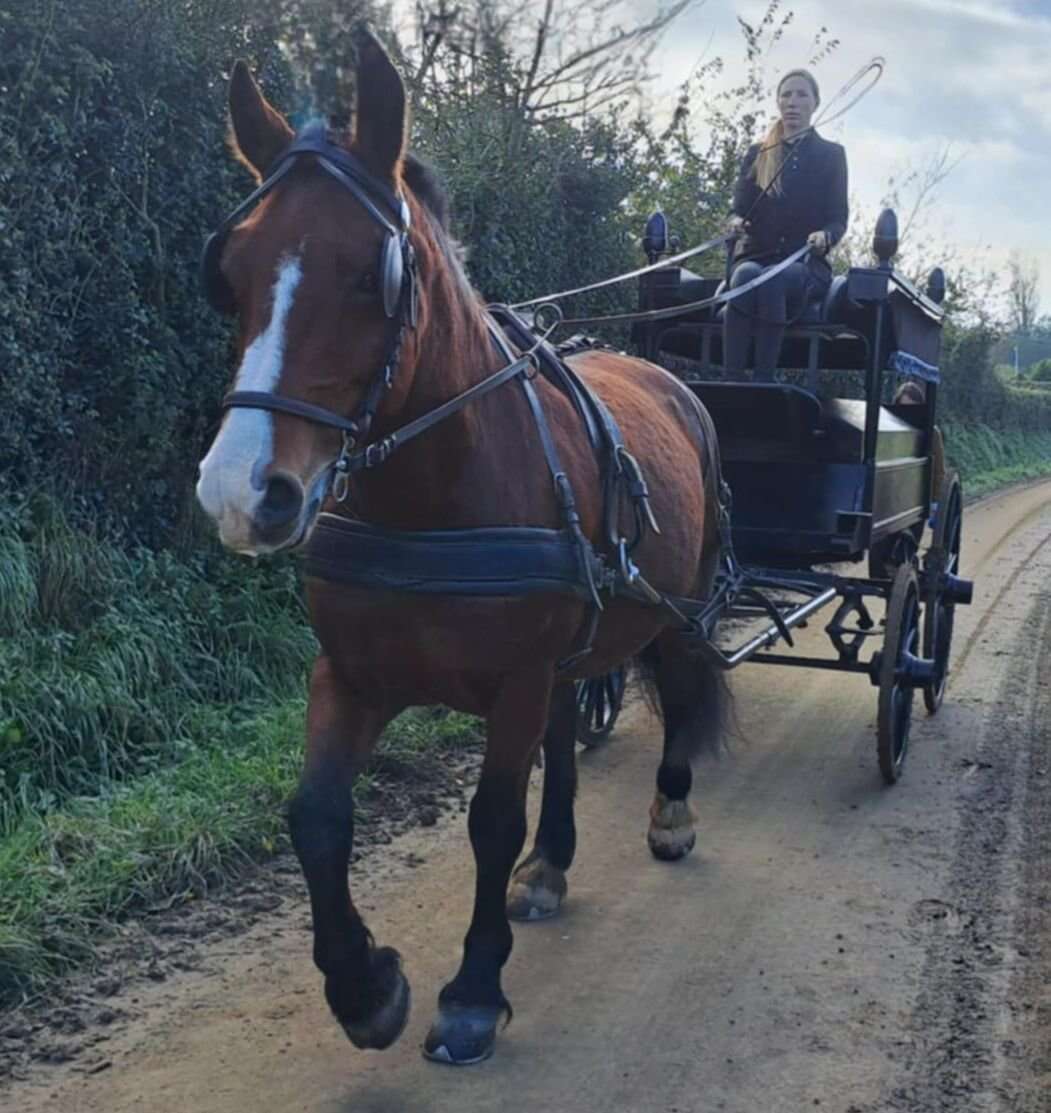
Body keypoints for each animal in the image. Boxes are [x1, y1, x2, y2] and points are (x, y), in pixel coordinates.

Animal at [194, 30, 721, 1064]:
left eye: (376, 273)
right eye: (227, 270)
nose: (242, 491)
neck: (428, 503)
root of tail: (666, 376)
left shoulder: (512, 679)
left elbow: (488, 818)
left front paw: (472, 990)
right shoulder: (351, 673)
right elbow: (315, 816)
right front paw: (364, 987)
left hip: (682, 602)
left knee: (680, 692)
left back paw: (671, 810)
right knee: (564, 728)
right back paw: (549, 865)